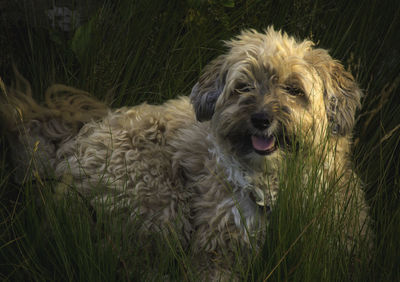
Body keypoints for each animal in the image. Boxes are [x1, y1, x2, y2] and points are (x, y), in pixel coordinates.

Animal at [0, 26, 370, 280]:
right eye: (243, 87)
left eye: (294, 89)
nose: (261, 119)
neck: (272, 182)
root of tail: (75, 137)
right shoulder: (217, 252)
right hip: (155, 195)